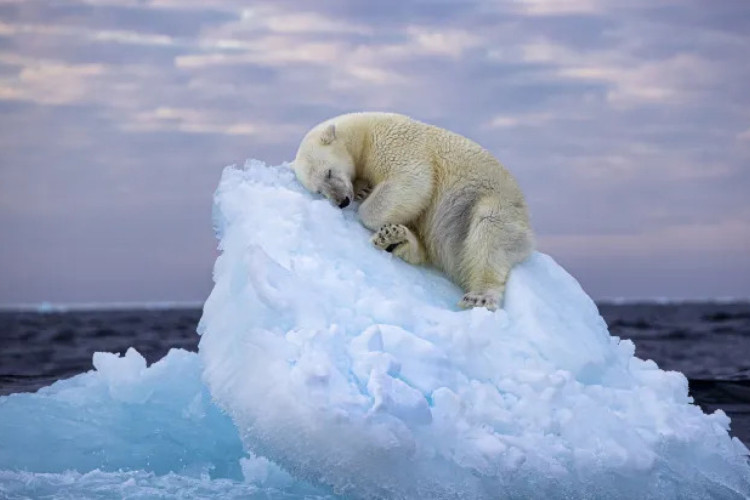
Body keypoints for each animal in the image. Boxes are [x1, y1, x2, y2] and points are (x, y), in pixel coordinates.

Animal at [294, 111, 536, 310]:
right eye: (318, 191)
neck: (363, 132)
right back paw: (394, 239)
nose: (342, 201)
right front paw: (364, 190)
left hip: (493, 204)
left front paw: (366, 205)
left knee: (489, 234)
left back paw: (479, 296)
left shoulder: (394, 143)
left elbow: (413, 181)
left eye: (328, 172)